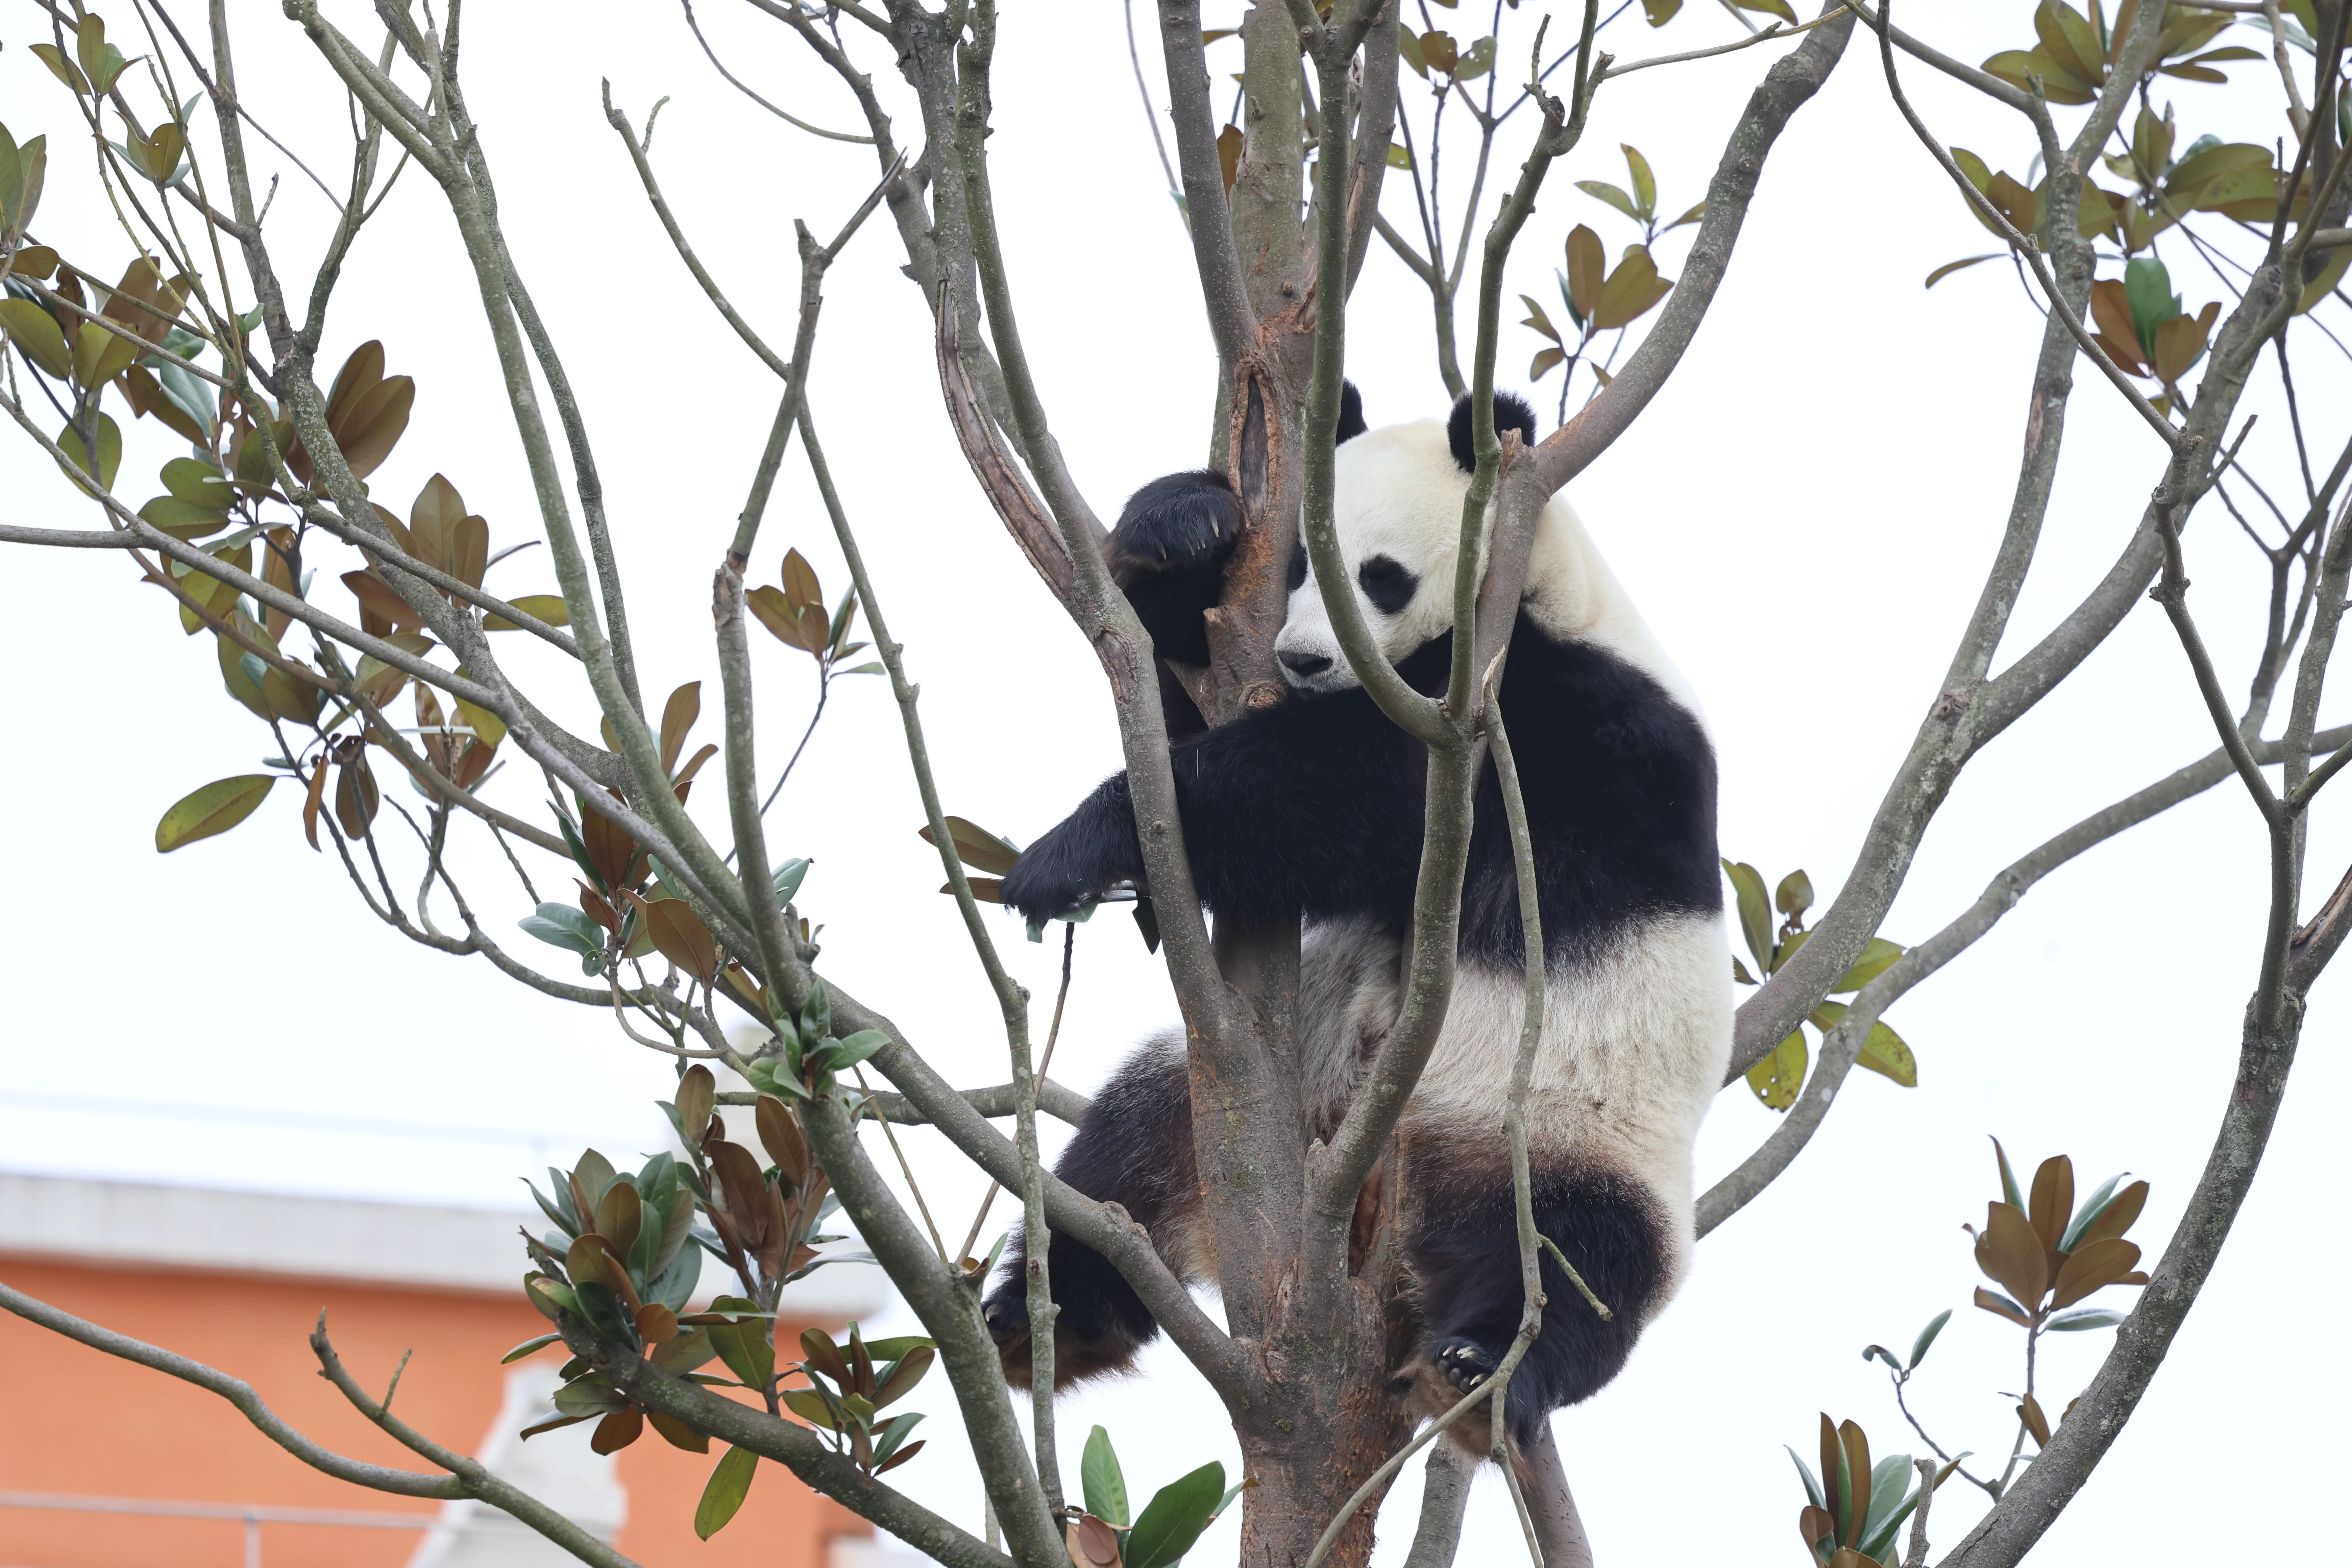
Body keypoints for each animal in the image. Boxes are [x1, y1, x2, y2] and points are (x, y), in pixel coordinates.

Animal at [987, 387, 1731, 1452]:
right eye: (1299, 566)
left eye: (1378, 579)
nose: (1301, 659)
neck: (1538, 595)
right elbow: (1172, 708)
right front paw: (1180, 526)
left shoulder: (1538, 720)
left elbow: (1349, 788)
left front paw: (1068, 850)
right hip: (1240, 1092)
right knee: (1118, 1160)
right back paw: (1049, 1314)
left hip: (1579, 1134)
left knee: (1576, 1260)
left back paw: (1485, 1370)